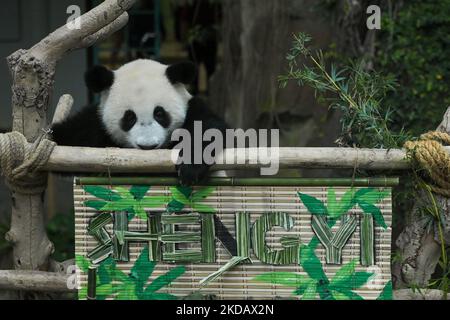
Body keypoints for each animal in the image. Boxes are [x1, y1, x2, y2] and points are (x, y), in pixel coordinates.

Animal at [51, 59, 229, 185]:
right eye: (129, 117)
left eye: (159, 113)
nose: (148, 146)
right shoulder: (95, 125)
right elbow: (69, 141)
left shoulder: (193, 108)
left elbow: (209, 130)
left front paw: (190, 167)